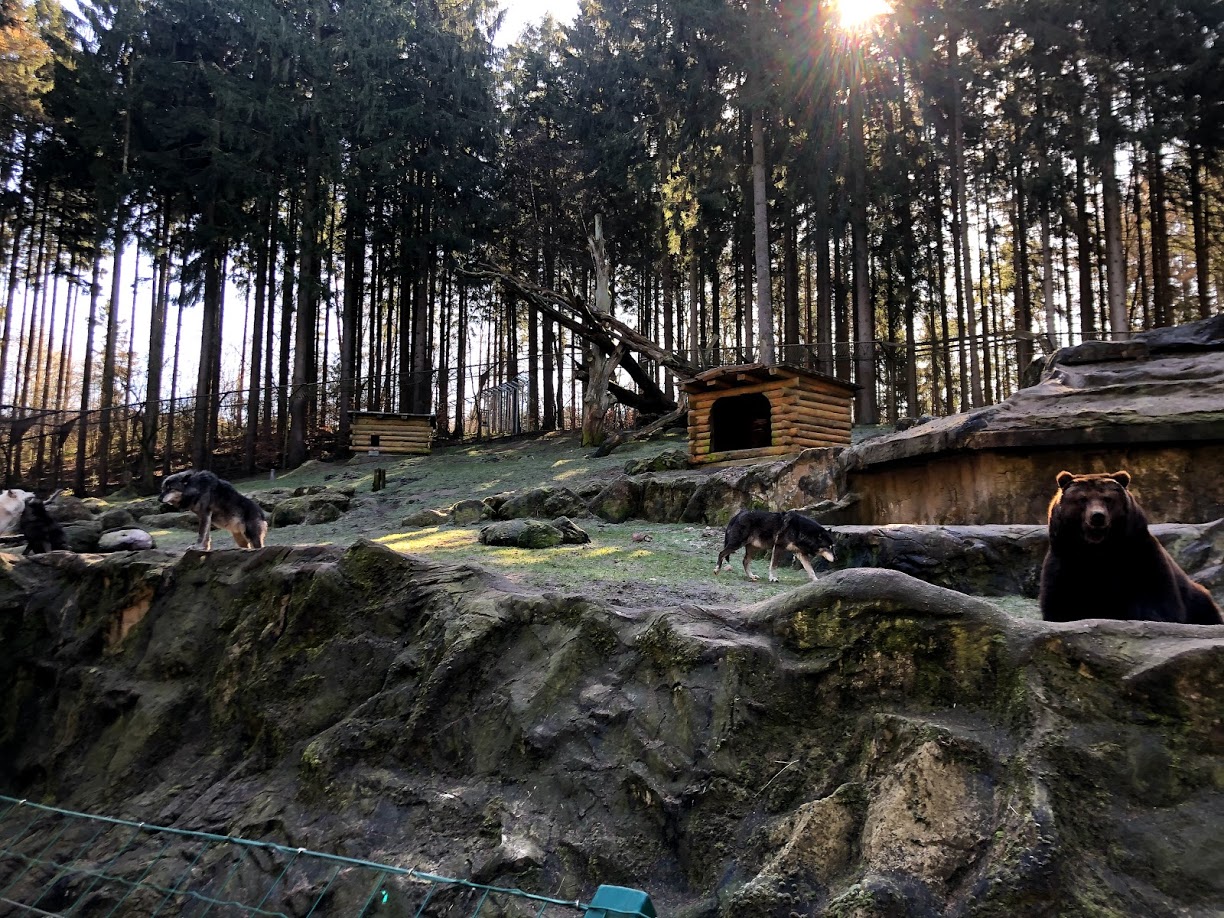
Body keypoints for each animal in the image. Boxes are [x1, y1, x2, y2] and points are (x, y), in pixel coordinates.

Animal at [1039, 470, 1223, 625]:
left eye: (1107, 499)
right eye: (1082, 499)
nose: (1097, 516)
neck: (1098, 550)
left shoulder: (1139, 555)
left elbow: (1156, 599)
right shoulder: (1065, 561)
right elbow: (1060, 602)